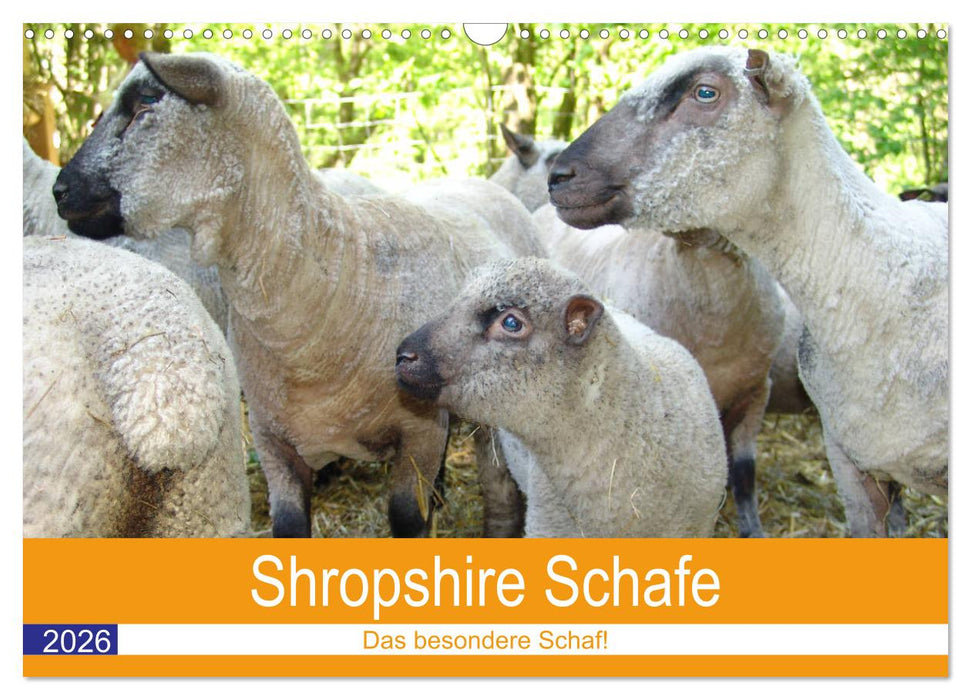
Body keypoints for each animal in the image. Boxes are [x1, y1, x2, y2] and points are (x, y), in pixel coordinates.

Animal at [52, 51, 544, 538]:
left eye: (146, 103)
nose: (61, 191)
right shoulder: (273, 442)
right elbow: (288, 525)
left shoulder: (417, 433)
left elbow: (408, 519)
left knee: (499, 484)